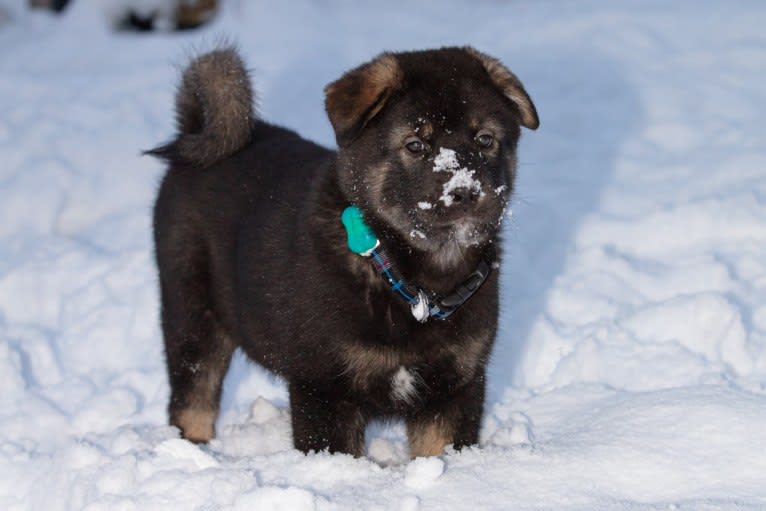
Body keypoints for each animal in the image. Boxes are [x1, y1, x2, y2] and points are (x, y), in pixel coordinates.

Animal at [147, 46, 536, 458]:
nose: (465, 192)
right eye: (415, 144)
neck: (409, 278)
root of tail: (194, 134)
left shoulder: (456, 384)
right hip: (191, 314)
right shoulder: (323, 388)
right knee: (193, 399)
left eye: (485, 139)